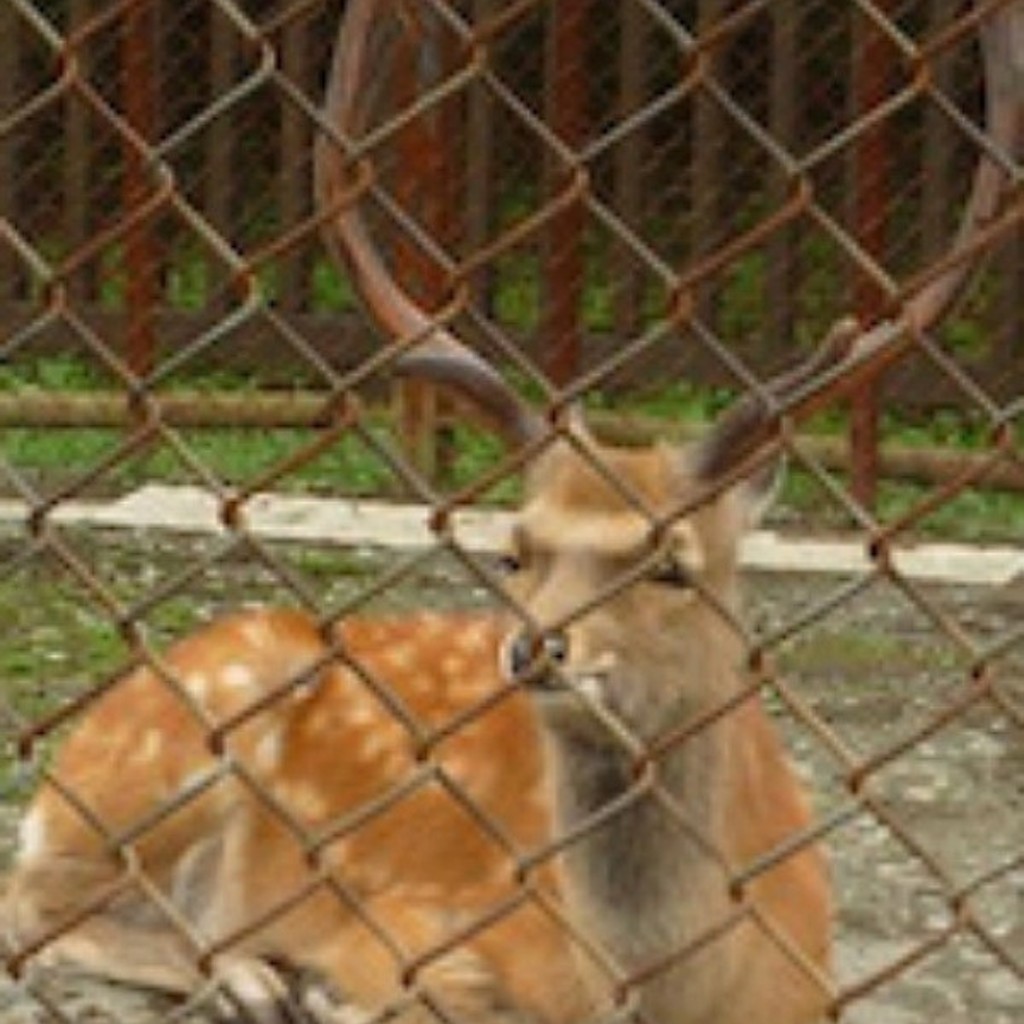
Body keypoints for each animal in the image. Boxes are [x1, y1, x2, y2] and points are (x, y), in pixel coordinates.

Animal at [6, 2, 1015, 1024]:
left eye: (672, 564)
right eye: (515, 552)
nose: (536, 647)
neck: (671, 985)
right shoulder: (406, 920)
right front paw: (324, 985)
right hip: (187, 720)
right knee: (35, 910)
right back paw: (253, 975)